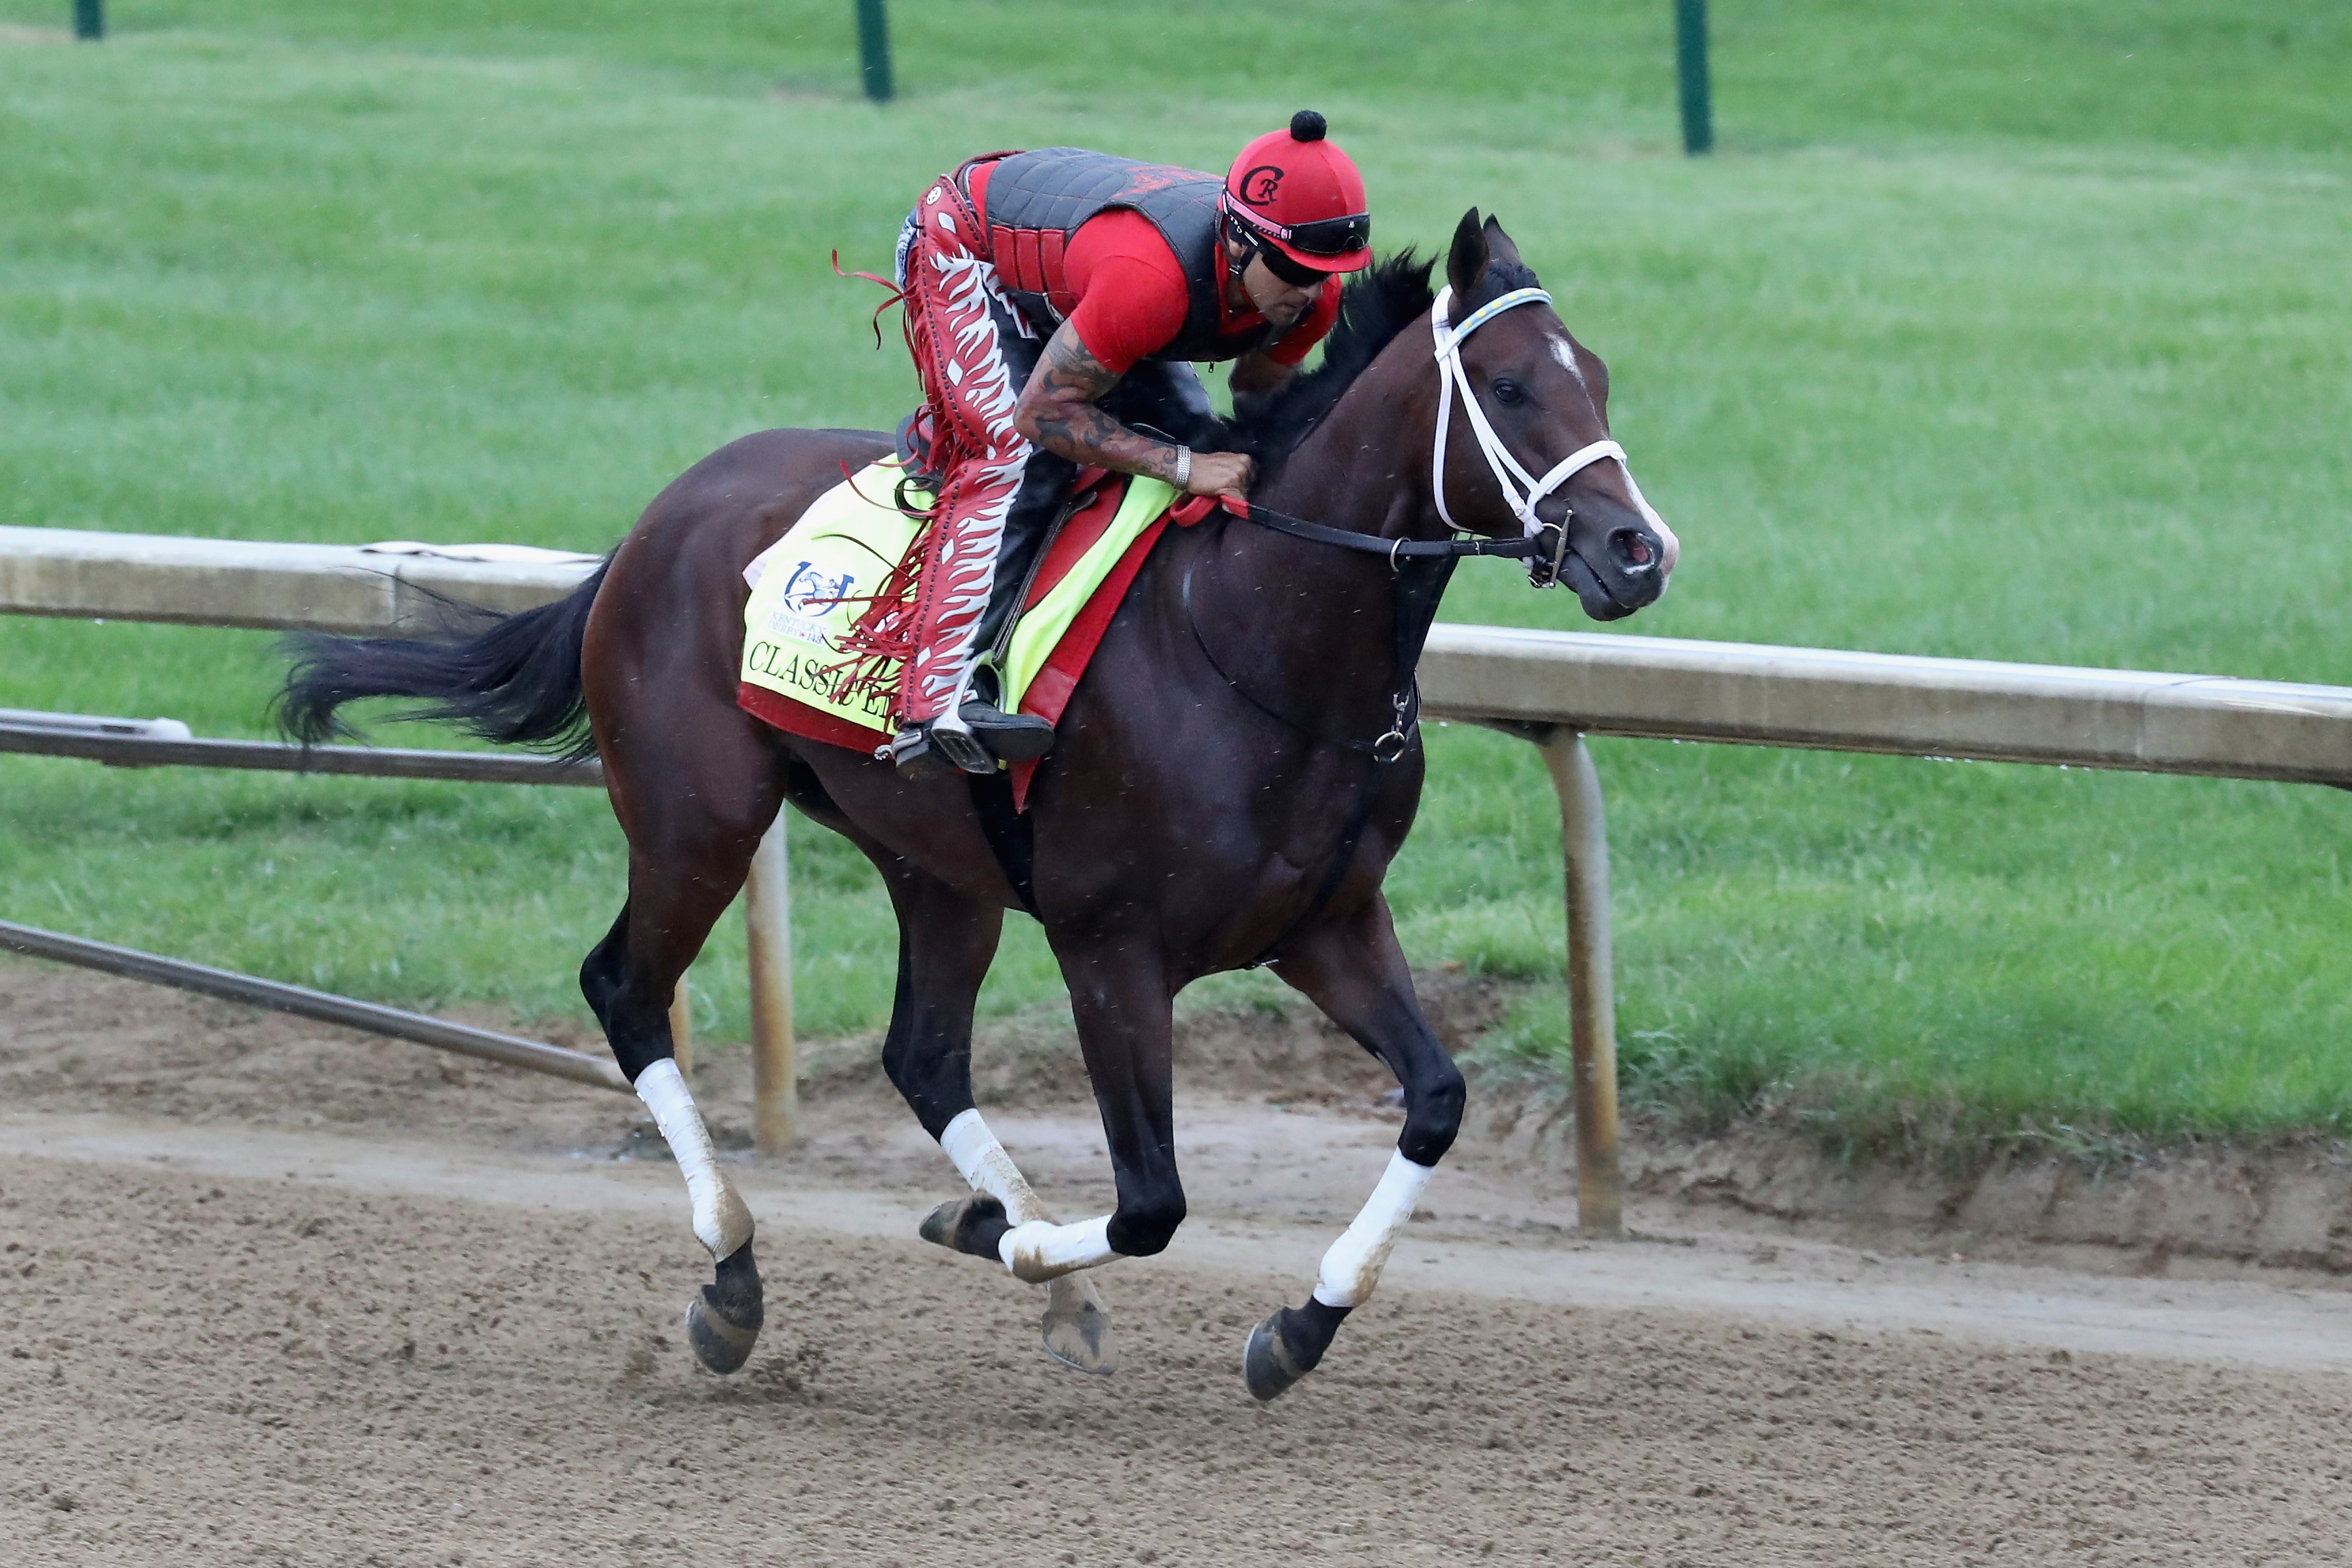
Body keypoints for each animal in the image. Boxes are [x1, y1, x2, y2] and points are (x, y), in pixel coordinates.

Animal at [280, 214, 1674, 1401]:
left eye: (1601, 378)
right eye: (1508, 387)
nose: (1637, 551)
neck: (1257, 642)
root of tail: (646, 527)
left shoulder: (1324, 922)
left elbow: (1434, 1099)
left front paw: (1292, 1323)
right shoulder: (1111, 947)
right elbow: (1151, 1200)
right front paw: (1017, 1245)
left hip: (935, 865)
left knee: (922, 1050)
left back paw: (994, 1229)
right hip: (696, 820)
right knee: (627, 989)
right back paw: (734, 1280)